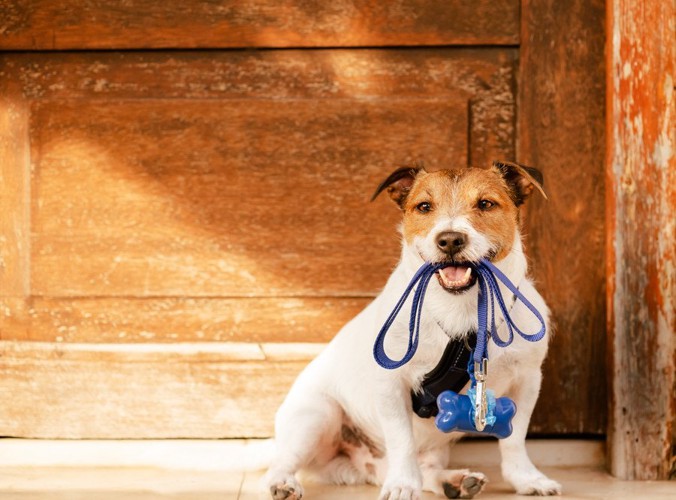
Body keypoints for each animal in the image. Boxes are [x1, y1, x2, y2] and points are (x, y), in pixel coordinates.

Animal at [262, 162, 564, 498]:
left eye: (486, 203)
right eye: (424, 207)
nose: (450, 240)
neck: (463, 311)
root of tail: (360, 464)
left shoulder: (527, 380)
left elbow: (515, 439)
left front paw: (526, 478)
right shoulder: (391, 384)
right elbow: (401, 440)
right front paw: (403, 485)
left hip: (432, 447)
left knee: (427, 469)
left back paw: (454, 482)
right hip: (316, 416)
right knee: (281, 462)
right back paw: (283, 483)